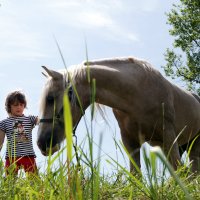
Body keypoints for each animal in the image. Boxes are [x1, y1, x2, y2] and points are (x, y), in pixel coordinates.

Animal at [37, 57, 200, 173]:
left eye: (50, 98)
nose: (42, 143)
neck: (137, 93)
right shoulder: (130, 141)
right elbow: (136, 175)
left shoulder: (169, 135)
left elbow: (178, 170)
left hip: (192, 145)